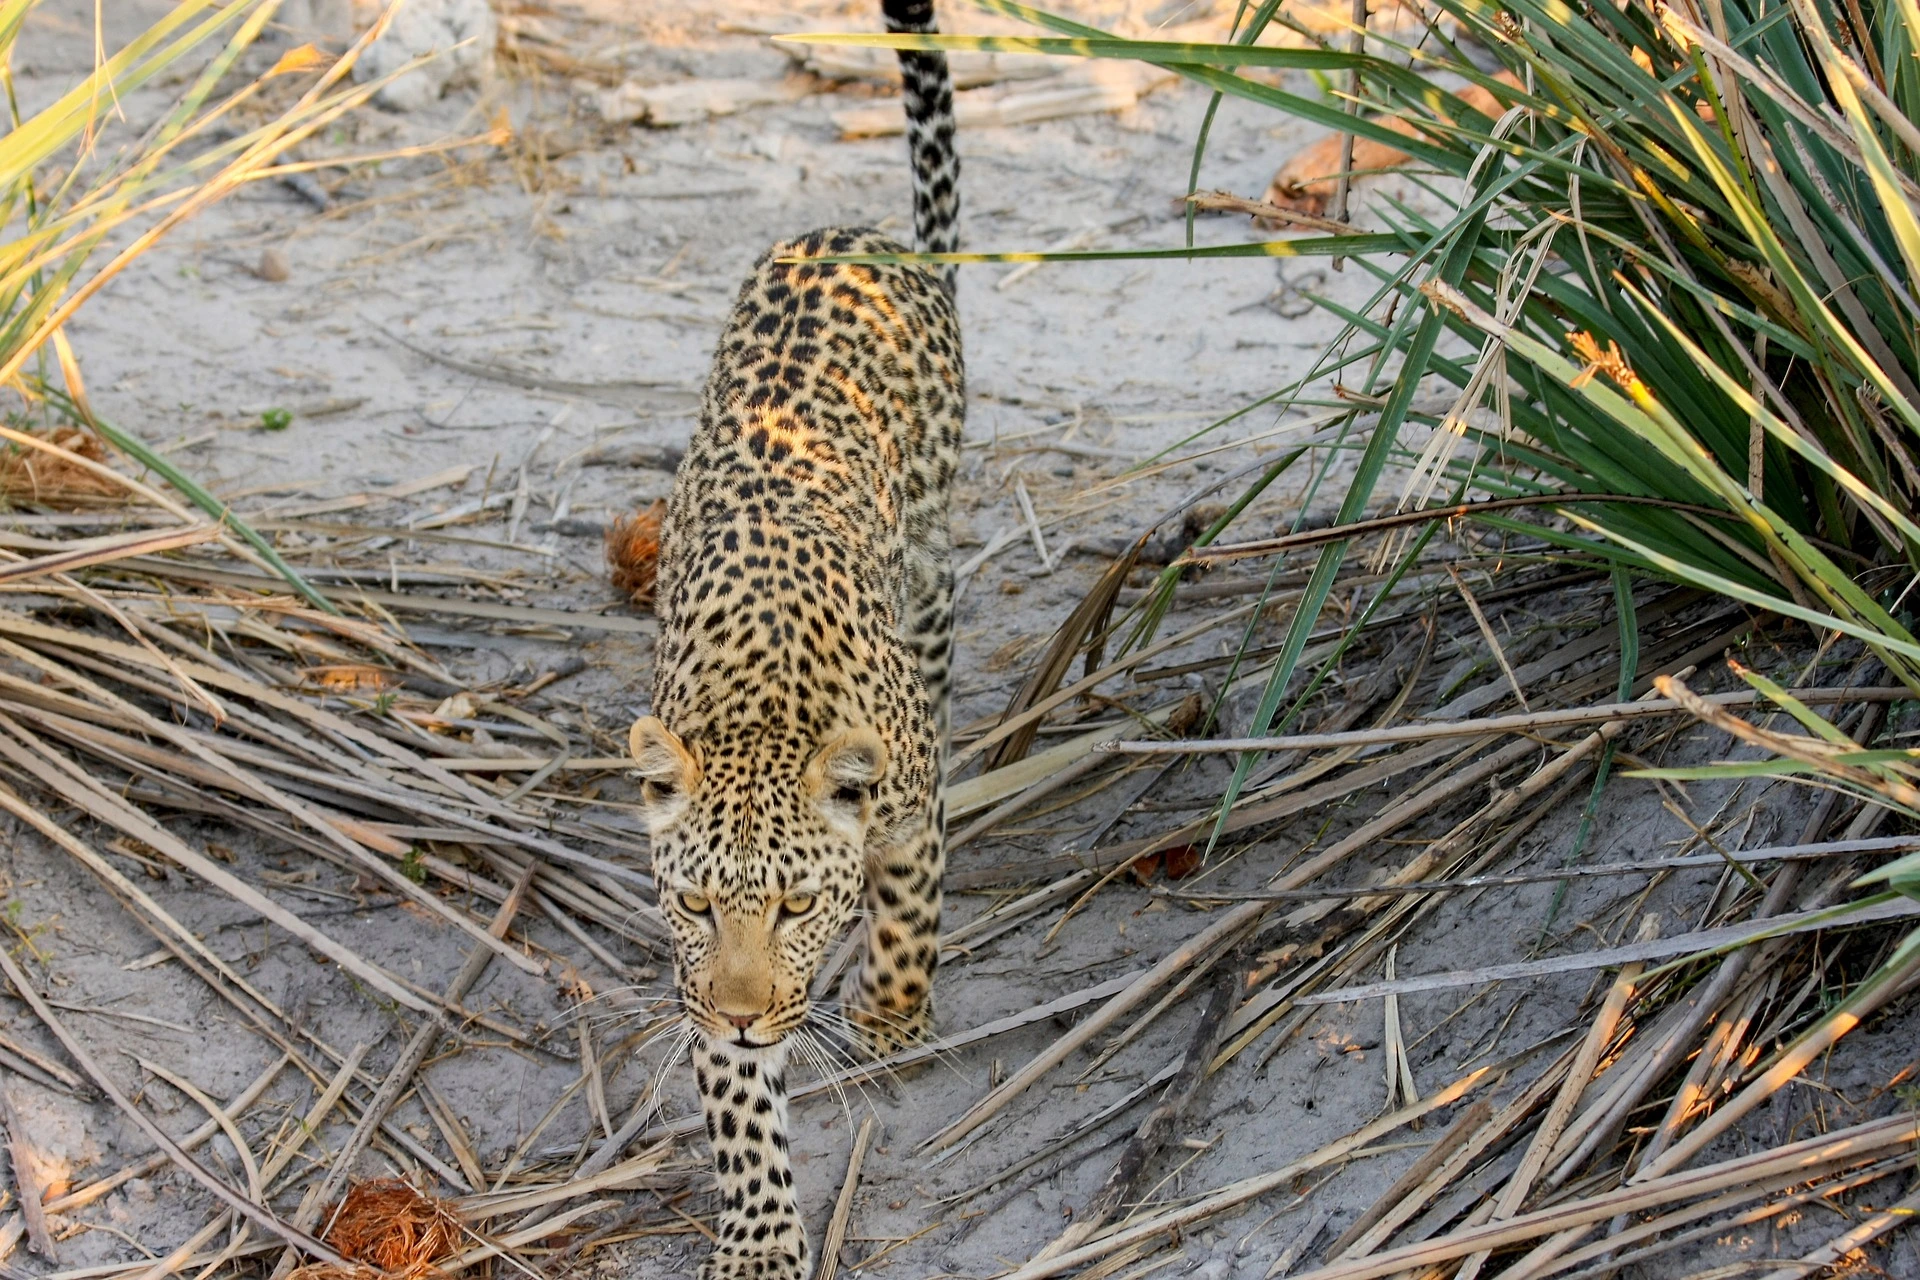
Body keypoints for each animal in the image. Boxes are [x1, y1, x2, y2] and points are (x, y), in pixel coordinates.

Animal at [625, 5, 967, 1274]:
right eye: (695, 905)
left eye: (794, 905)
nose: (740, 1009)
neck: (770, 702)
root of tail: (856, 231)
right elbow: (736, 1105)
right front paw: (764, 1230)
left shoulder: (906, 808)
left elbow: (910, 898)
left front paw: (891, 1010)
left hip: (932, 528)